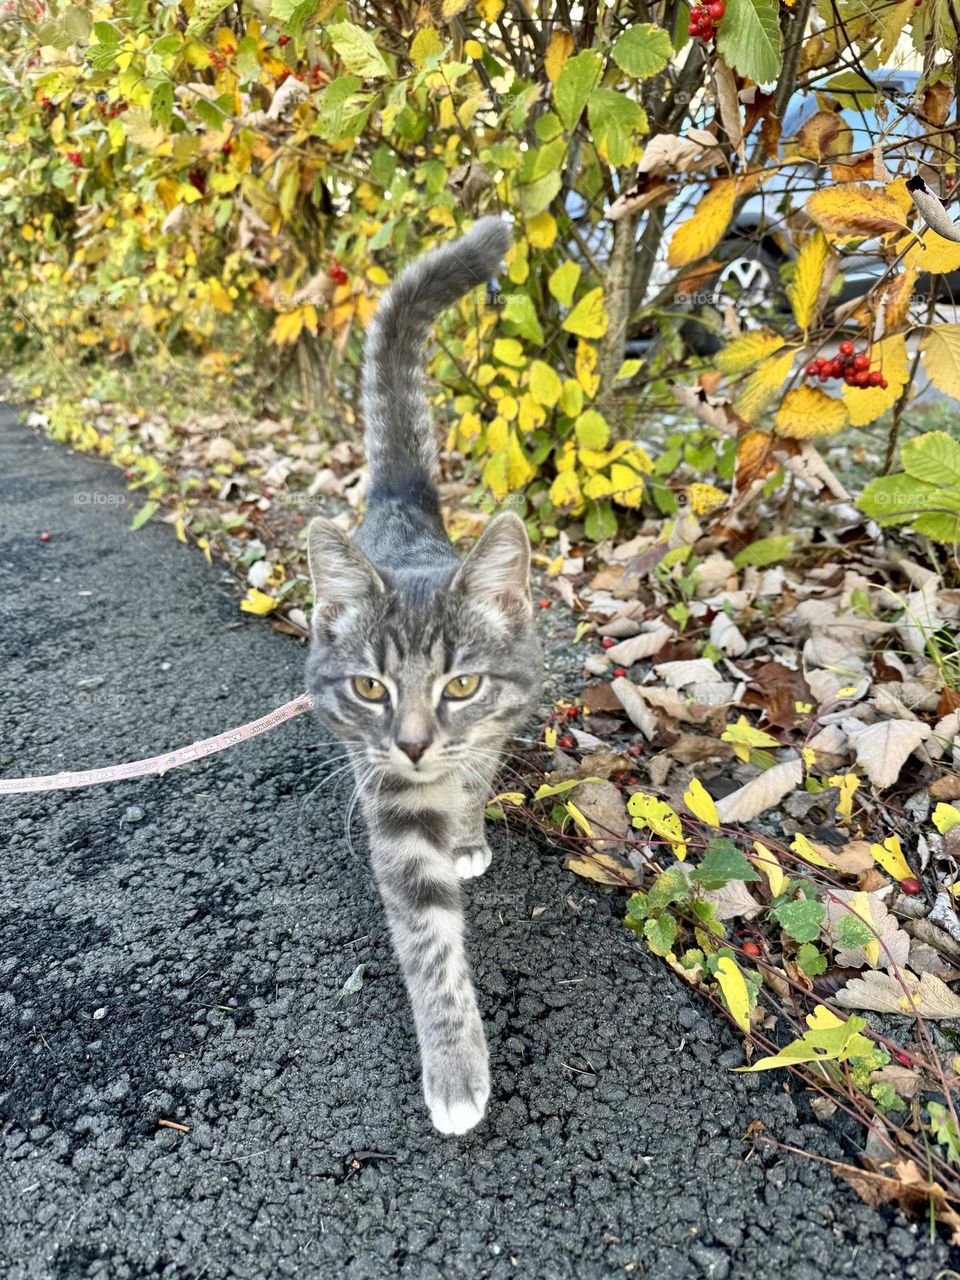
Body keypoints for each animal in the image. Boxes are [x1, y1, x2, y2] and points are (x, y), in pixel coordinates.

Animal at [305, 217, 542, 1131]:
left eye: (461, 685)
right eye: (371, 686)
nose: (409, 746)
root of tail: (402, 499)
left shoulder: (488, 726)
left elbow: (473, 779)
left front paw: (467, 832)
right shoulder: (394, 806)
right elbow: (429, 941)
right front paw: (455, 1067)